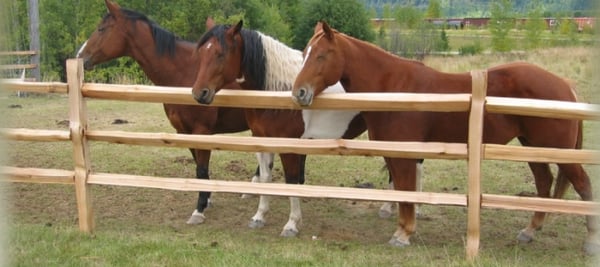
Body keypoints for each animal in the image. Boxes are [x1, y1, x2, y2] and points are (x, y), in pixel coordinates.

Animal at [75, 0, 276, 226]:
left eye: (101, 29)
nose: (80, 56)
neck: (184, 72)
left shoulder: (201, 131)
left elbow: (201, 168)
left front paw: (199, 210)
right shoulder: (185, 131)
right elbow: (199, 167)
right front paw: (206, 199)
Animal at [290, 22, 596, 254]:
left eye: (321, 55)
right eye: (305, 53)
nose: (299, 93)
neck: (394, 89)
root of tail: (564, 85)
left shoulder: (405, 155)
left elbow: (406, 193)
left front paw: (403, 235)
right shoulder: (395, 154)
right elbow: (401, 192)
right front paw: (402, 230)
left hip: (557, 151)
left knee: (583, 185)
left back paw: (591, 241)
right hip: (533, 148)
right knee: (544, 183)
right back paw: (529, 231)